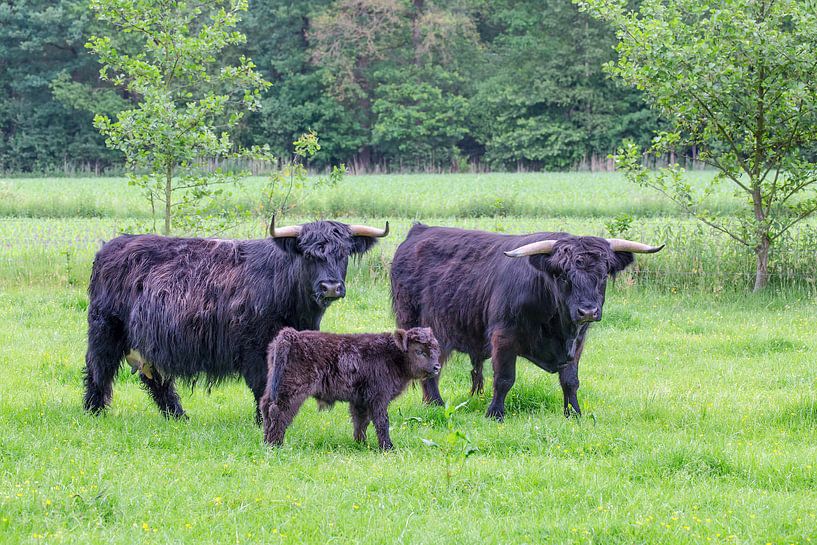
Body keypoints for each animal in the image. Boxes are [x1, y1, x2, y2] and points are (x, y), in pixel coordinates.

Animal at [83, 219, 388, 418]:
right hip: (106, 328)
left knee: (154, 377)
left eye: (343, 253)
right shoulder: (254, 346)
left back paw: (178, 416)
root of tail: (112, 245)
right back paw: (94, 411)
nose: (331, 287)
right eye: (309, 254)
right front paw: (263, 420)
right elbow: (263, 383)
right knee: (98, 366)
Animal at [262, 326, 440, 448]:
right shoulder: (378, 398)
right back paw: (276, 445)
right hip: (292, 392)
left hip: (273, 386)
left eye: (435, 348)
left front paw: (361, 444)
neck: (392, 355)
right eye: (419, 351)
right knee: (279, 413)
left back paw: (265, 442)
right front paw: (388, 448)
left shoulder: (360, 401)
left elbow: (361, 422)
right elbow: (382, 421)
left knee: (265, 407)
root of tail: (291, 335)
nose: (437, 367)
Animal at [388, 223, 664, 418]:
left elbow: (570, 381)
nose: (588, 311)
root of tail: (419, 230)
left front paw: (574, 414)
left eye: (603, 275)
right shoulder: (503, 337)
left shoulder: (577, 342)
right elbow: (504, 379)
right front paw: (495, 414)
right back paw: (437, 404)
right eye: (563, 276)